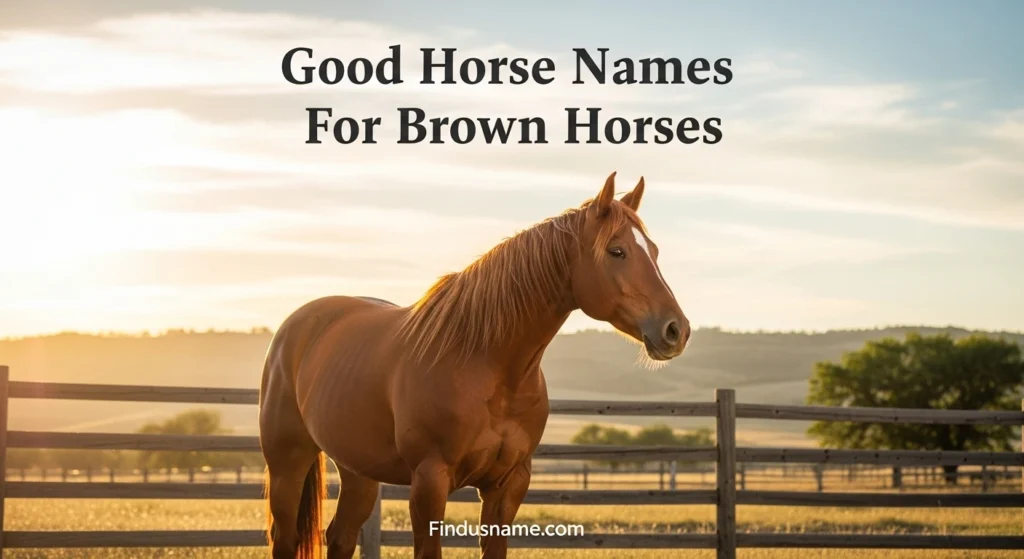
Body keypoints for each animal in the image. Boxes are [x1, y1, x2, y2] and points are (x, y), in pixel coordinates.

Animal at [258, 172, 690, 559]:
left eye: (653, 251)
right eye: (617, 250)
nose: (676, 330)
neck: (486, 365)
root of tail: (296, 326)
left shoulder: (509, 484)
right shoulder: (430, 480)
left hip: (358, 470)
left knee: (341, 537)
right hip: (287, 464)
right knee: (285, 538)